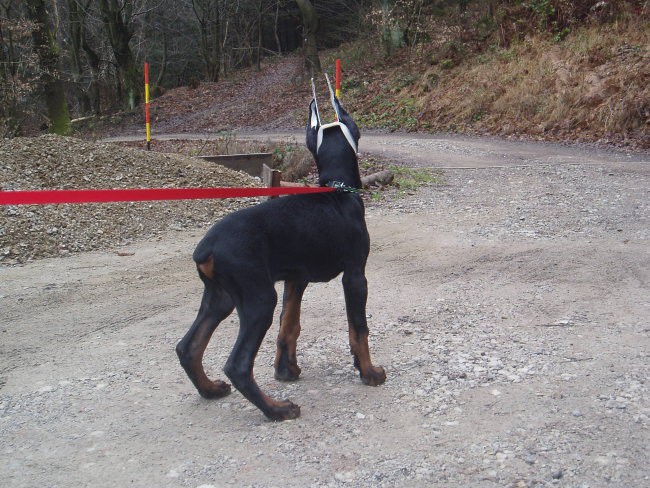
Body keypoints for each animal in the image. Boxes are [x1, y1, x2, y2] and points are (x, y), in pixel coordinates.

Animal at [175, 88, 384, 420]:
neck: (337, 190)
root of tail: (205, 249)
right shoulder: (355, 275)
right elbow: (358, 329)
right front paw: (369, 372)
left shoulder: (295, 279)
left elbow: (290, 325)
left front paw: (286, 371)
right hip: (259, 298)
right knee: (238, 365)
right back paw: (277, 409)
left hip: (221, 297)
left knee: (188, 347)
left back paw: (210, 390)